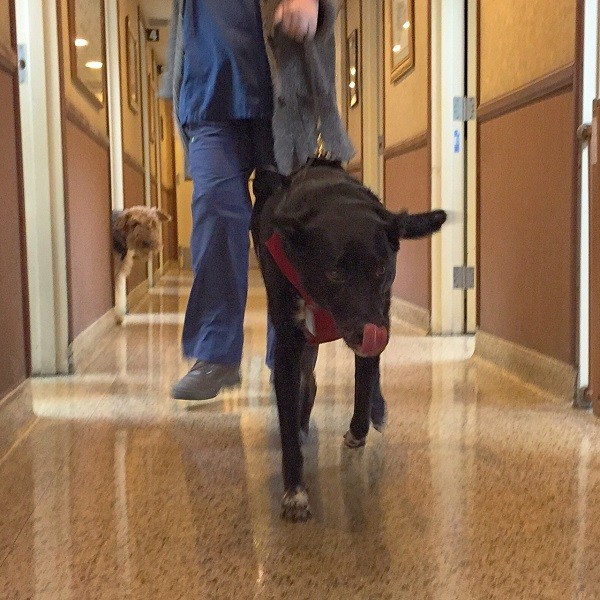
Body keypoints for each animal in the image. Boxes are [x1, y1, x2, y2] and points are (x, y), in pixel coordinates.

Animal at [251, 159, 442, 520]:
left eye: (380, 269)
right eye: (334, 273)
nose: (369, 332)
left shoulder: (380, 317)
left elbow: (364, 384)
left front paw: (358, 430)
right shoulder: (287, 344)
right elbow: (287, 421)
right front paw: (295, 492)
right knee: (308, 382)